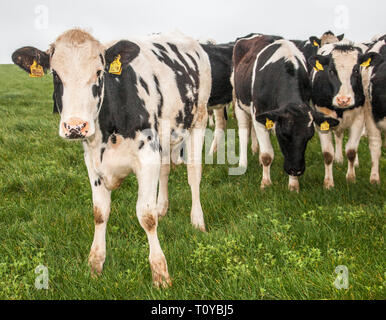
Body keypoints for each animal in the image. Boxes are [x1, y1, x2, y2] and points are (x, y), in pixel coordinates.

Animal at [12, 28, 211, 288]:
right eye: (55, 74)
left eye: (99, 72)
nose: (75, 127)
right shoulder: (92, 160)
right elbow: (100, 212)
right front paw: (95, 263)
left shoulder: (147, 155)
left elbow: (146, 216)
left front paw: (160, 273)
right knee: (166, 170)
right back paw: (162, 207)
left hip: (199, 119)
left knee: (194, 175)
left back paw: (197, 220)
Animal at [232, 34, 338, 191]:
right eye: (284, 135)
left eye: (309, 137)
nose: (296, 170)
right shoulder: (258, 113)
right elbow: (267, 155)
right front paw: (265, 183)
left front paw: (293, 185)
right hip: (239, 104)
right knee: (244, 132)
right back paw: (243, 163)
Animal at [308, 41, 368, 189]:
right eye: (331, 71)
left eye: (356, 70)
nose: (343, 100)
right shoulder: (321, 120)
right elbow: (327, 154)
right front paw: (328, 183)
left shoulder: (359, 119)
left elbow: (351, 151)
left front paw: (351, 179)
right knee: (339, 135)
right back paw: (339, 158)